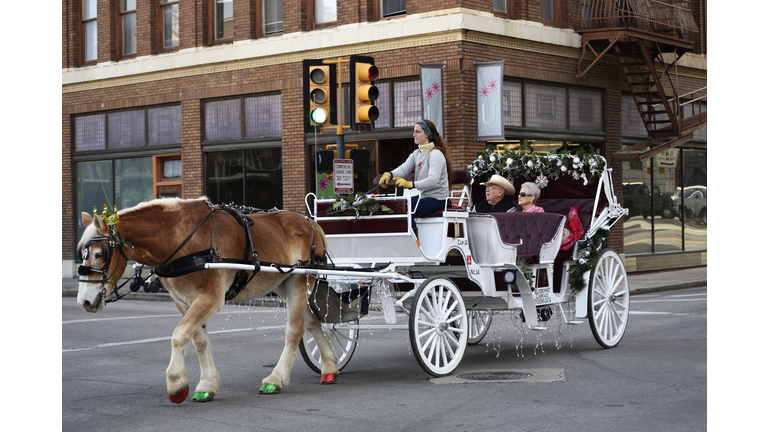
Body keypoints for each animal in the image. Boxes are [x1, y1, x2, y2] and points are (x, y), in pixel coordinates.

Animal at [77, 197, 340, 404]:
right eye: (83, 253)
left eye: (99, 254)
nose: (84, 302)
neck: (180, 239)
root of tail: (311, 222)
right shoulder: (183, 300)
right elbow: (198, 340)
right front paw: (206, 385)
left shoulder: (210, 297)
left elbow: (179, 335)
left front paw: (176, 384)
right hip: (283, 284)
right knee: (313, 322)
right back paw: (329, 367)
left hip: (299, 281)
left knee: (295, 330)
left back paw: (276, 379)